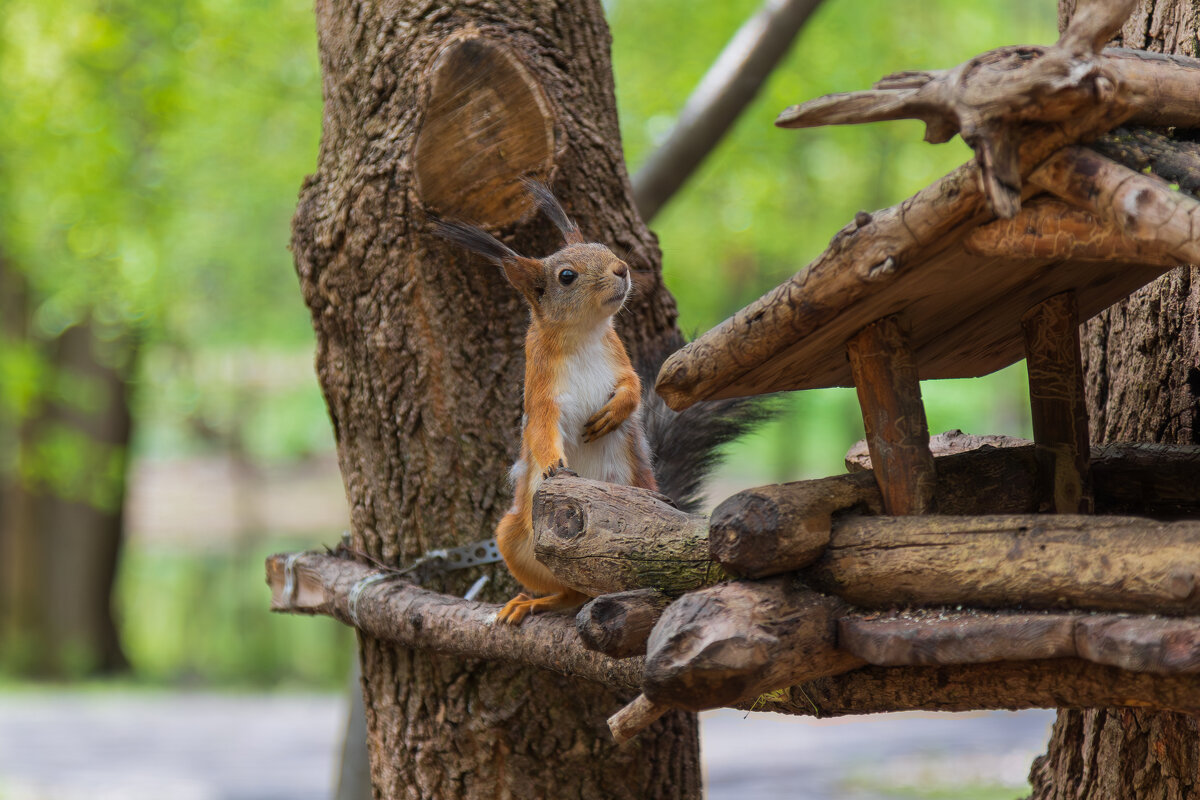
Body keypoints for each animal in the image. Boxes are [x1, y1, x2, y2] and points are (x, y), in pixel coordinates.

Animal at [434, 181, 768, 623]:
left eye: (605, 247)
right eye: (566, 276)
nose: (622, 269)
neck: (584, 335)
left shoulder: (620, 359)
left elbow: (635, 388)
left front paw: (613, 413)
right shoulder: (541, 389)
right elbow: (542, 429)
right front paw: (555, 465)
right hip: (516, 538)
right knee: (570, 590)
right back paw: (535, 601)